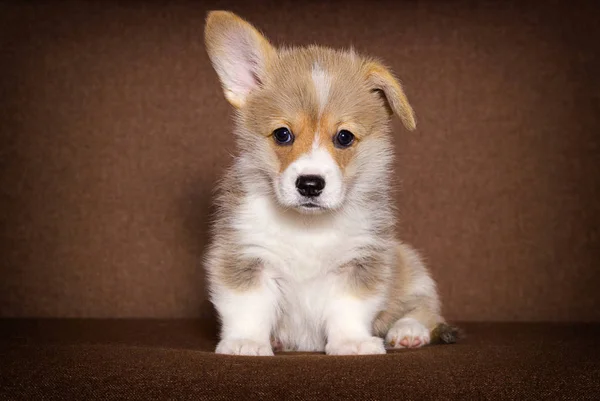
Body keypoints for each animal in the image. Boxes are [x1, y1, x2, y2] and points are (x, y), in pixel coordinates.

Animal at [204, 9, 458, 354]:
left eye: (344, 137)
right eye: (282, 134)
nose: (310, 185)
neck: (308, 227)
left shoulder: (360, 261)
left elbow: (348, 308)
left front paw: (352, 343)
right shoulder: (244, 255)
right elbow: (248, 307)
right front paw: (246, 343)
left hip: (410, 264)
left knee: (424, 307)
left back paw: (408, 331)